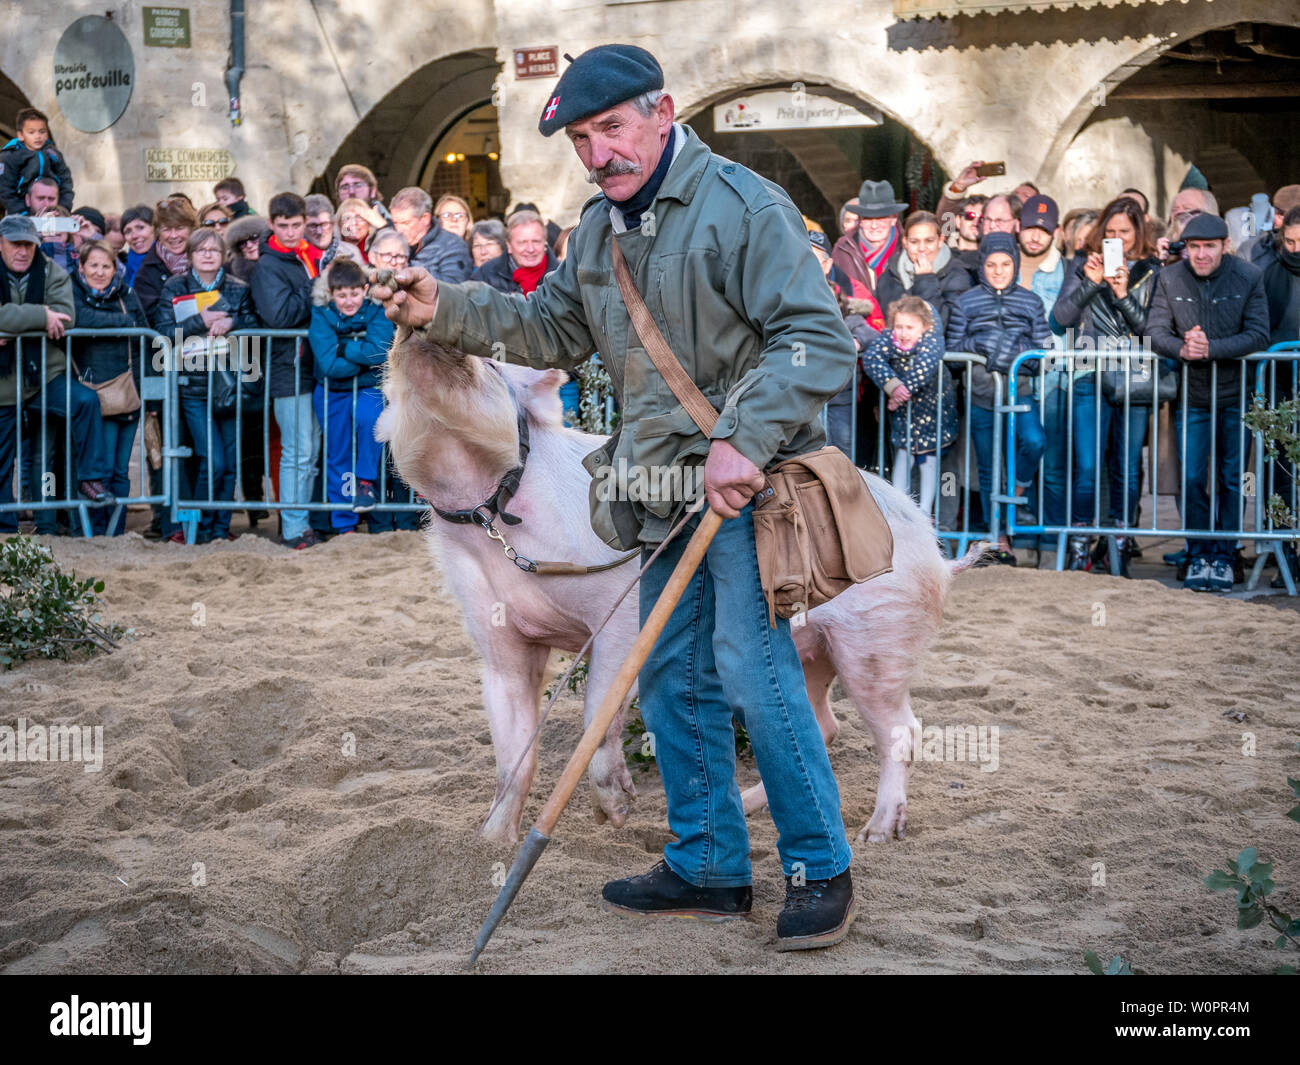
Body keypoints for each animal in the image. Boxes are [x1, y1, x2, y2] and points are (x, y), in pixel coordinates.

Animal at [379, 332, 977, 847]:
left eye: (493, 364)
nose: (419, 331)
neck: (489, 520)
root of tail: (937, 552)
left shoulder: (620, 612)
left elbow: (598, 706)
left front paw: (616, 813)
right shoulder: (495, 634)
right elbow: (513, 752)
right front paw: (491, 843)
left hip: (878, 638)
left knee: (902, 730)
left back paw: (877, 833)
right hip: (813, 653)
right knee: (819, 728)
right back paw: (752, 805)